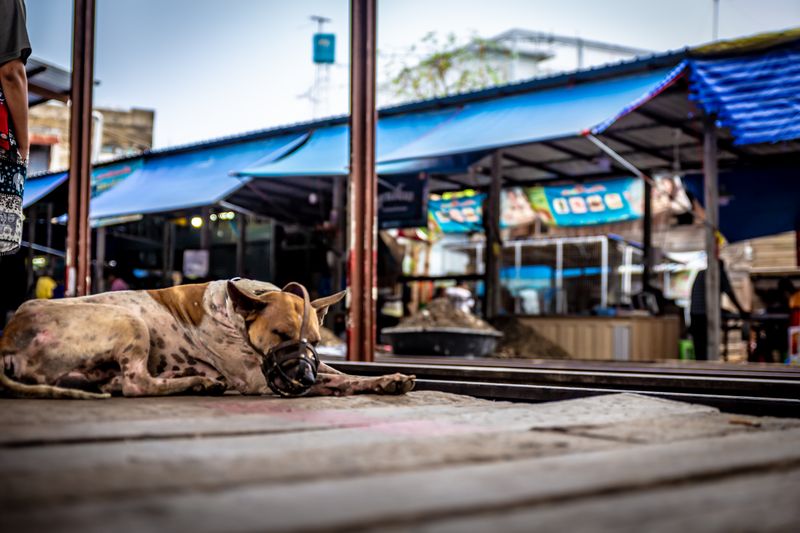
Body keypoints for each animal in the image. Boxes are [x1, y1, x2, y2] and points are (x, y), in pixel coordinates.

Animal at [0, 278, 412, 400]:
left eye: (314, 340)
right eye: (279, 334)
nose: (305, 377)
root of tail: (9, 335)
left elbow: (344, 375)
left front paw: (387, 379)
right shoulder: (256, 378)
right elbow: (335, 381)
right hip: (130, 321)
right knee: (136, 384)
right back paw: (197, 383)